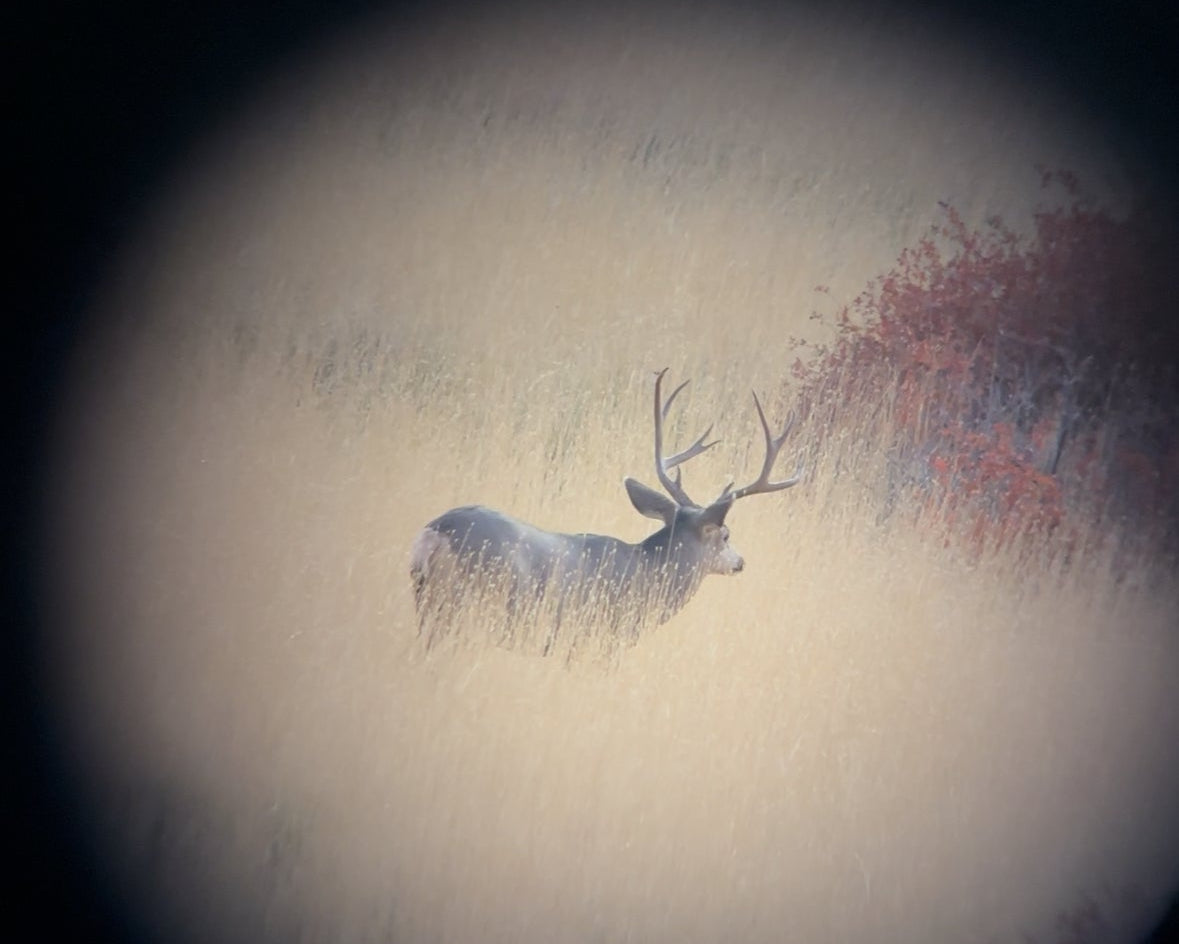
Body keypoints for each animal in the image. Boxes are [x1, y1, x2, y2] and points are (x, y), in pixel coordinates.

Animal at [409, 368, 803, 650]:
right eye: (725, 534)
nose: (741, 561)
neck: (647, 577)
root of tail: (435, 531)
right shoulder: (599, 639)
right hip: (470, 605)